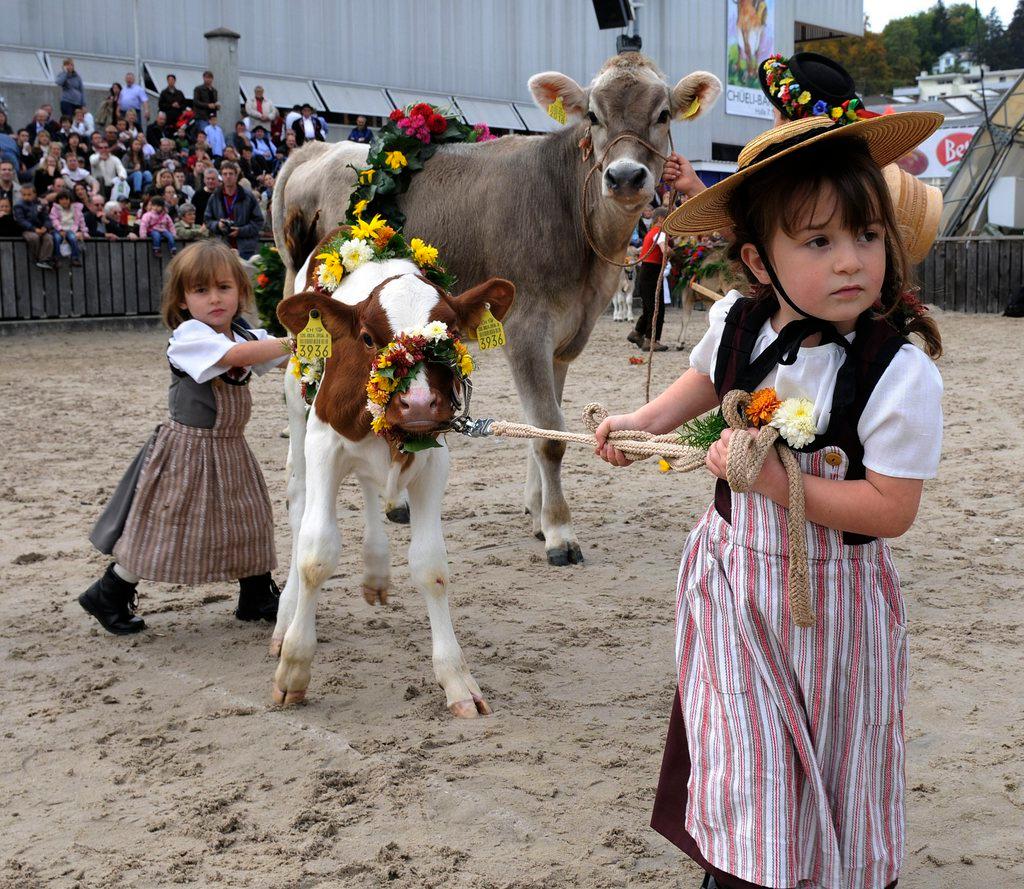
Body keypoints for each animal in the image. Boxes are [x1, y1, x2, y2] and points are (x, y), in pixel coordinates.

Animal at [272, 241, 516, 716]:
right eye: (368, 338)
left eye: (449, 334)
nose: (418, 404)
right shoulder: (324, 444)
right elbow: (316, 555)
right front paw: (294, 668)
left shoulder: (435, 459)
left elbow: (431, 566)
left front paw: (457, 680)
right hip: (296, 407)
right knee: (299, 503)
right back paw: (285, 615)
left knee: (370, 489)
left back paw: (375, 570)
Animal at [274, 55, 720, 565]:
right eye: (593, 115)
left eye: (663, 115)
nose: (625, 177)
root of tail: (318, 150)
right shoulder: (527, 326)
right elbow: (547, 429)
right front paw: (560, 532)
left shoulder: (563, 339)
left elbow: (545, 423)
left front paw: (537, 513)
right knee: (299, 402)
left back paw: (396, 503)